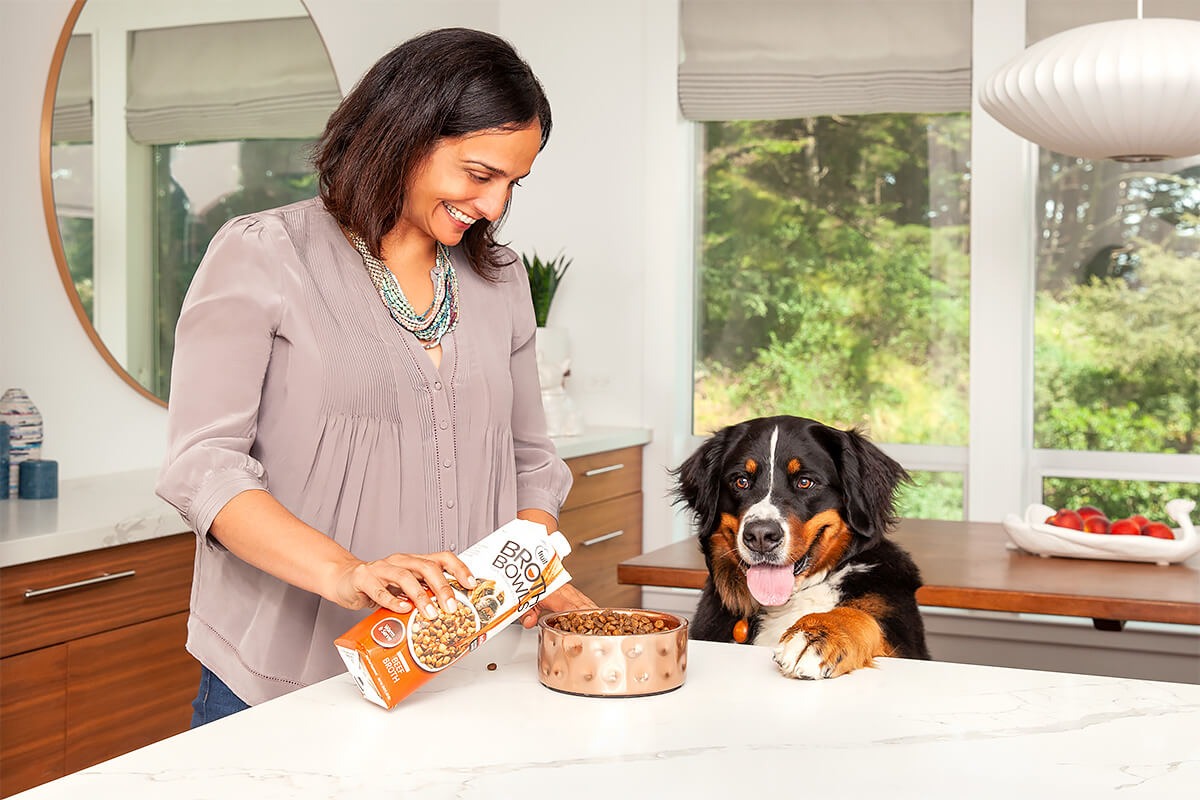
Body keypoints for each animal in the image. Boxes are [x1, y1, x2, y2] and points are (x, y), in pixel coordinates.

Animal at [672, 417, 931, 681]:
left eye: (805, 482)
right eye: (741, 481)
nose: (761, 536)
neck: (788, 600)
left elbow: (859, 615)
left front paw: (818, 634)